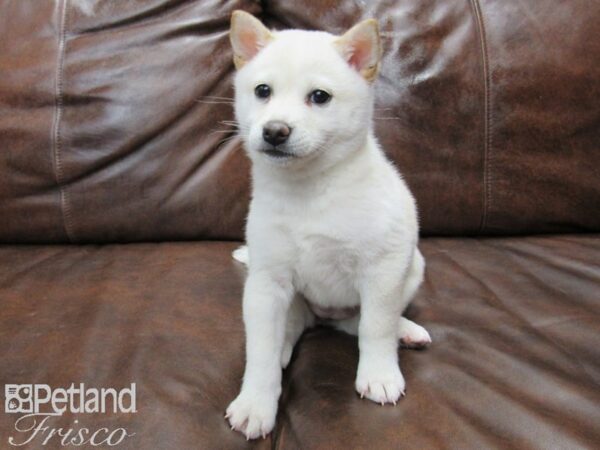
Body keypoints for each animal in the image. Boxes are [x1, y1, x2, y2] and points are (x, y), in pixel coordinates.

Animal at [226, 10, 432, 440]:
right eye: (262, 91)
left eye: (319, 97)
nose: (275, 131)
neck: (308, 192)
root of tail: (323, 315)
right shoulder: (267, 283)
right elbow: (261, 351)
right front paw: (256, 402)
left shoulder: (383, 271)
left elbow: (375, 327)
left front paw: (380, 374)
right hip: (283, 300)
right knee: (292, 327)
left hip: (412, 268)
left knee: (362, 321)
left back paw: (405, 330)